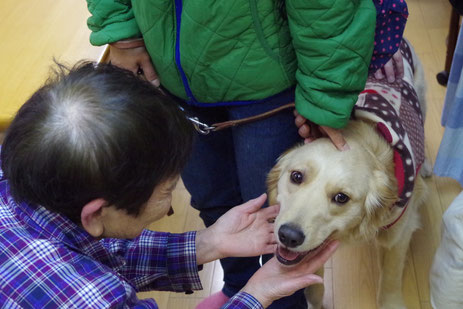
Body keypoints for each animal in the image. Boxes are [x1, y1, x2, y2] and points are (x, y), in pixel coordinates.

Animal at [268, 39, 432, 306]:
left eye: (341, 198)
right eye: (296, 176)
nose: (289, 236)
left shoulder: (399, 234)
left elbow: (390, 277)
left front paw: (391, 303)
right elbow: (314, 281)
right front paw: (314, 302)